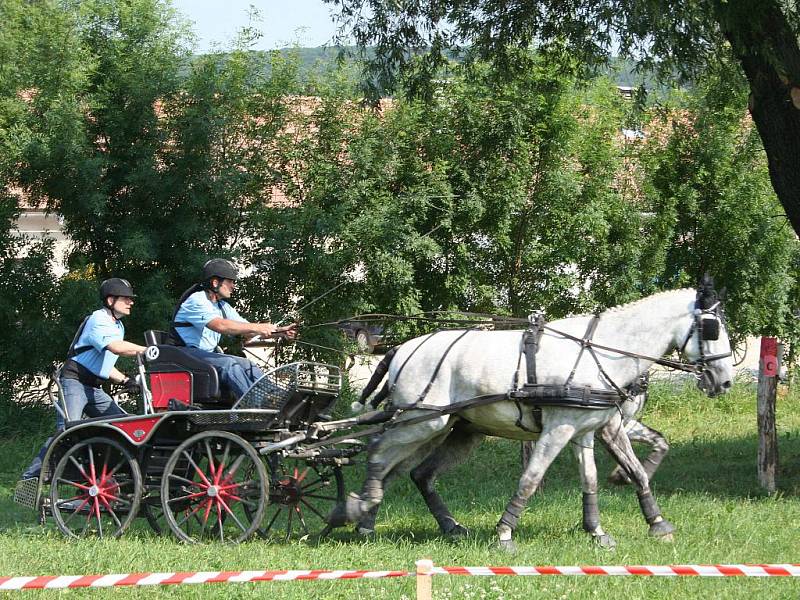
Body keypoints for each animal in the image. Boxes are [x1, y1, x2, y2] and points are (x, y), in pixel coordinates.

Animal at [328, 286, 736, 548]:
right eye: (712, 329)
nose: (725, 381)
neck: (602, 352)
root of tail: (400, 349)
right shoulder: (561, 428)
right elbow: (531, 477)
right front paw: (505, 533)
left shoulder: (589, 429)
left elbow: (604, 476)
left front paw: (616, 527)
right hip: (422, 421)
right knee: (379, 454)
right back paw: (359, 513)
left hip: (450, 430)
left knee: (411, 471)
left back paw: (418, 523)